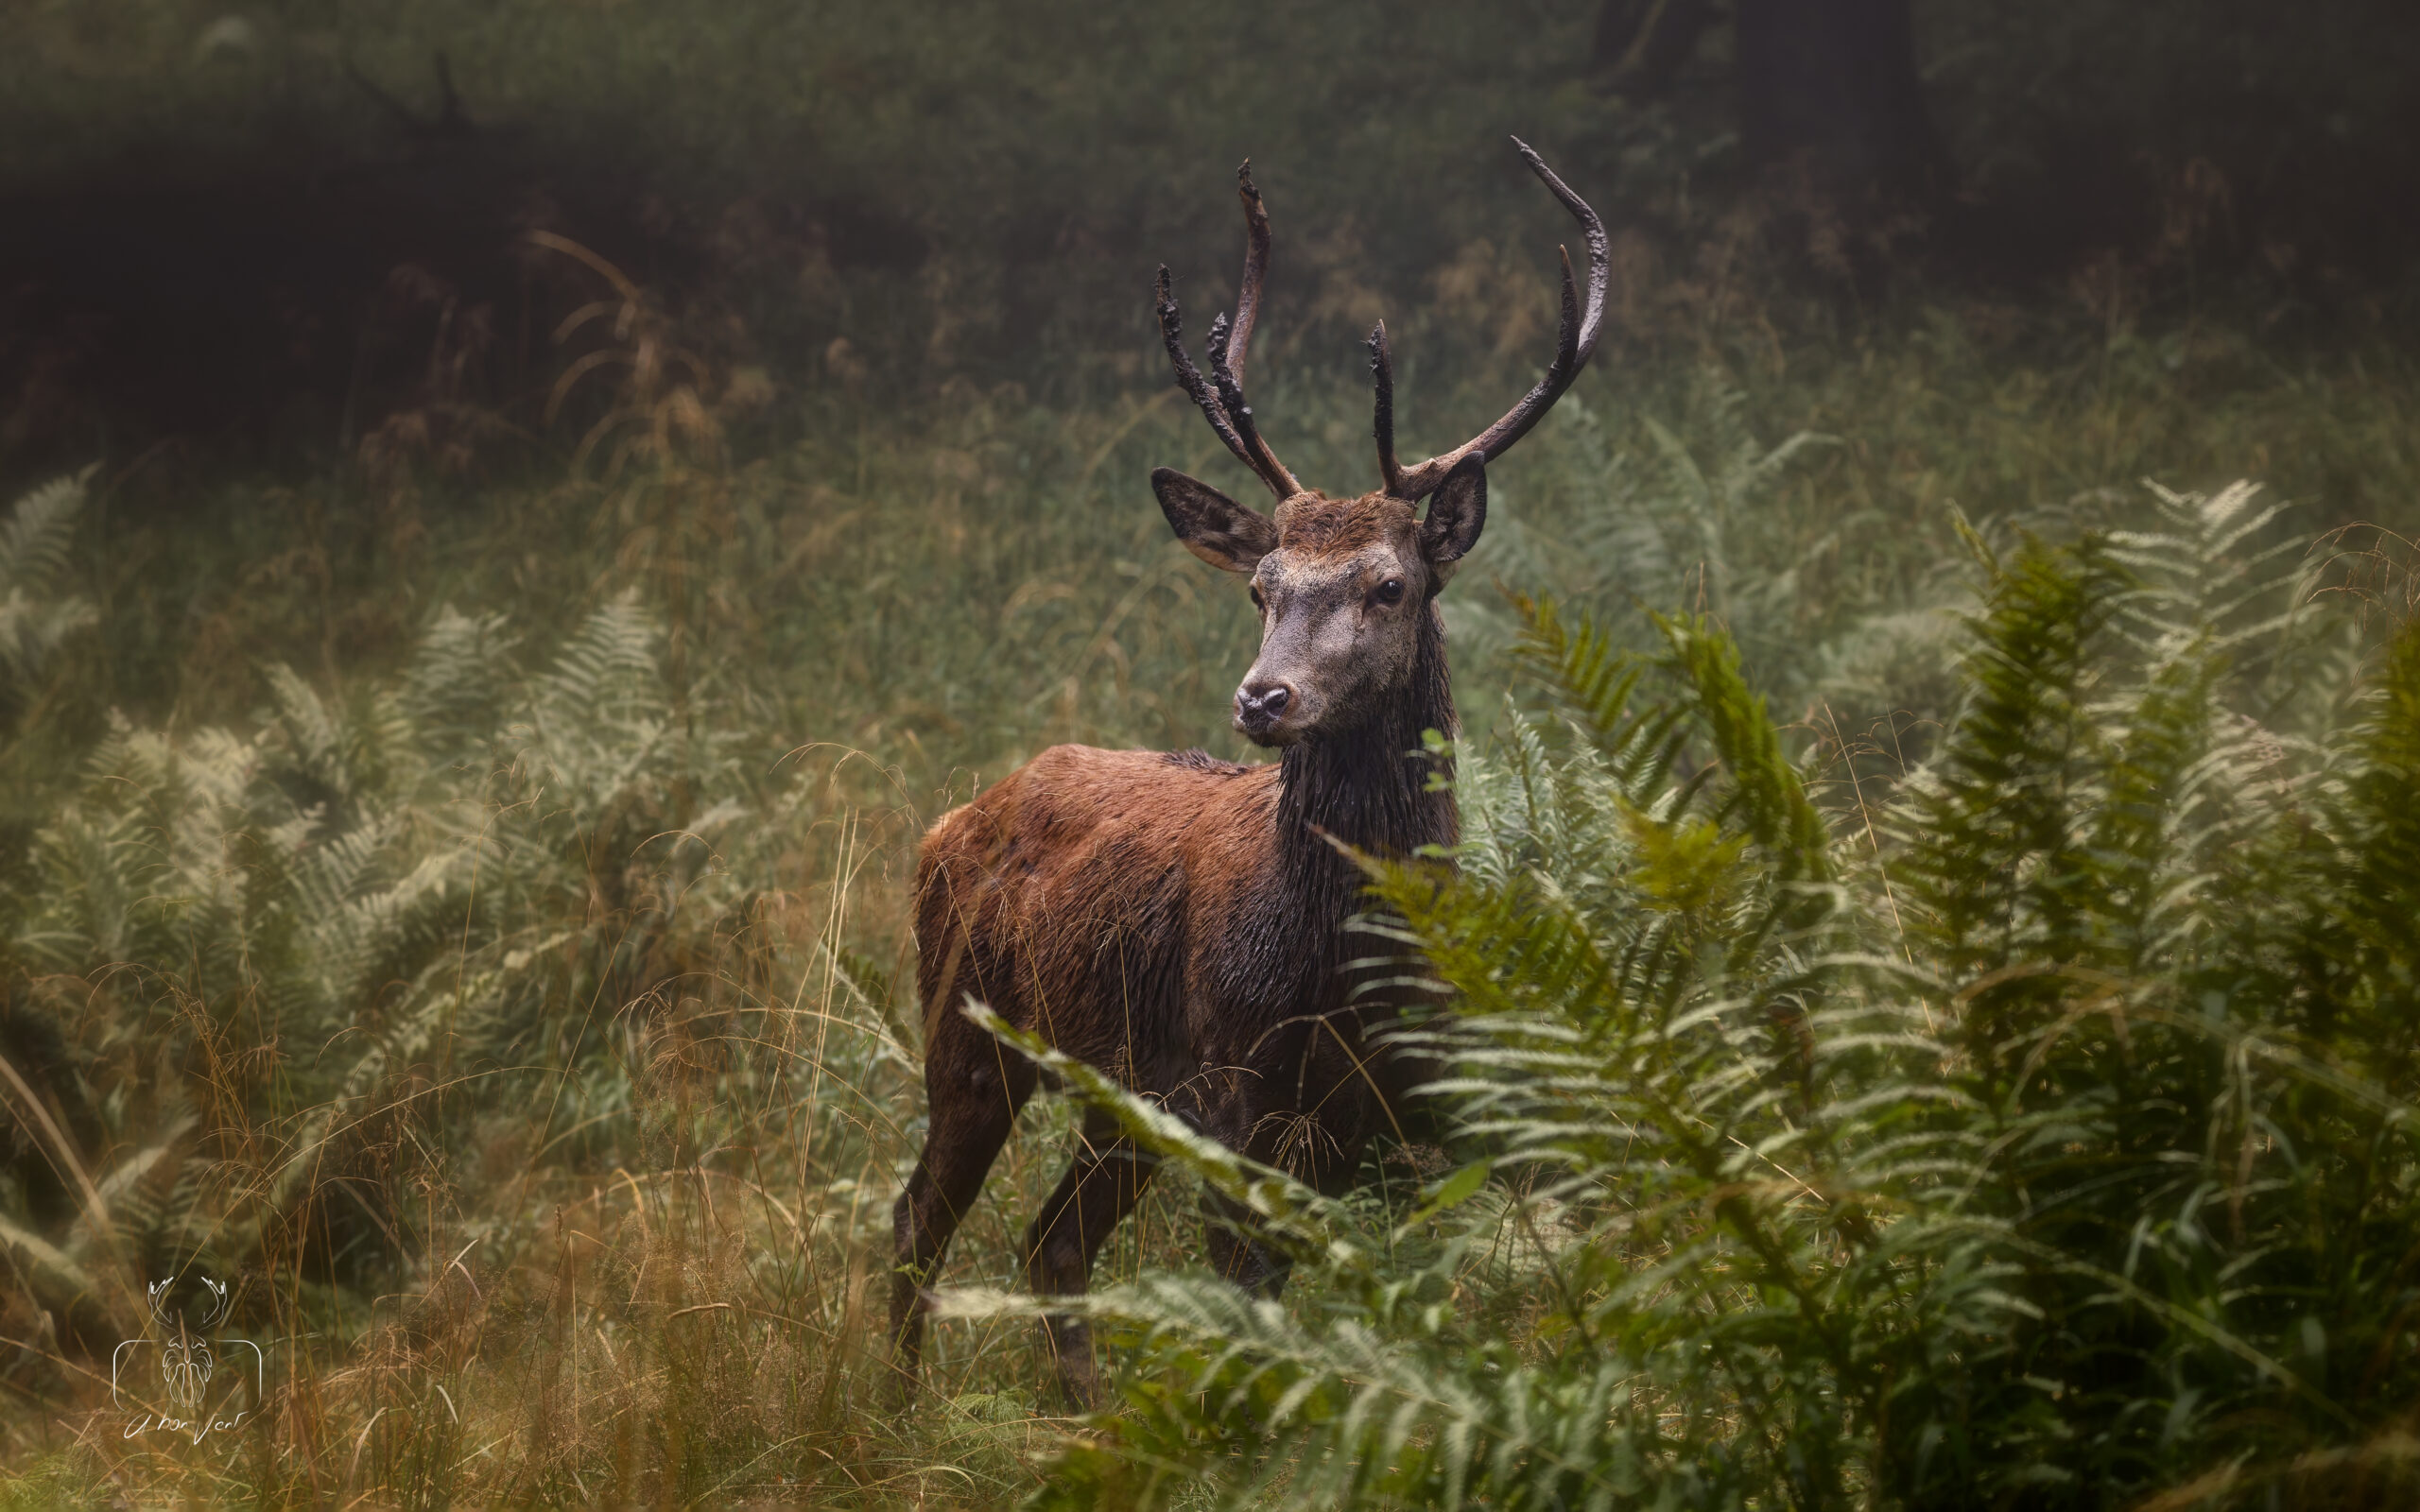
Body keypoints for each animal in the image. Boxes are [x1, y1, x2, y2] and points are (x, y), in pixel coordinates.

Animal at [889, 138, 1610, 1407]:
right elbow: (1257, 1306)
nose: (1261, 698)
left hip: (1120, 1090)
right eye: (1261, 585)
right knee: (917, 1222)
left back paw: (1082, 1414)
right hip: (967, 1026)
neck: (1337, 961)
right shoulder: (1234, 1085)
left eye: (1389, 583)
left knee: (1051, 1237)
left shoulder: (1409, 1104)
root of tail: (948, 823)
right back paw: (885, 1412)